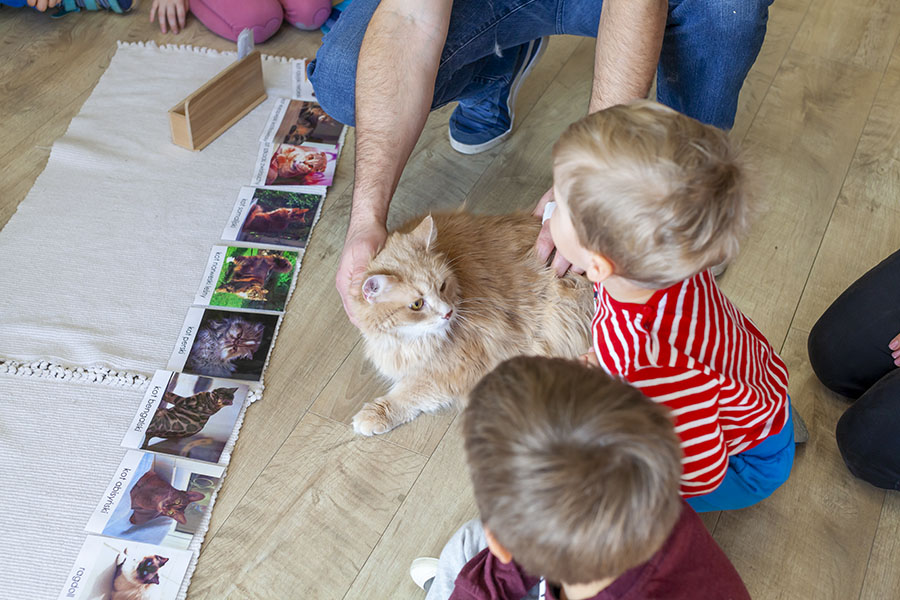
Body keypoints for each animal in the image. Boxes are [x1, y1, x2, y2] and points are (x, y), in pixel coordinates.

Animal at [352, 212, 596, 436]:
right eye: (417, 304)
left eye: (442, 286)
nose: (448, 313)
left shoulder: (455, 369)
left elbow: (408, 393)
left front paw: (374, 415)